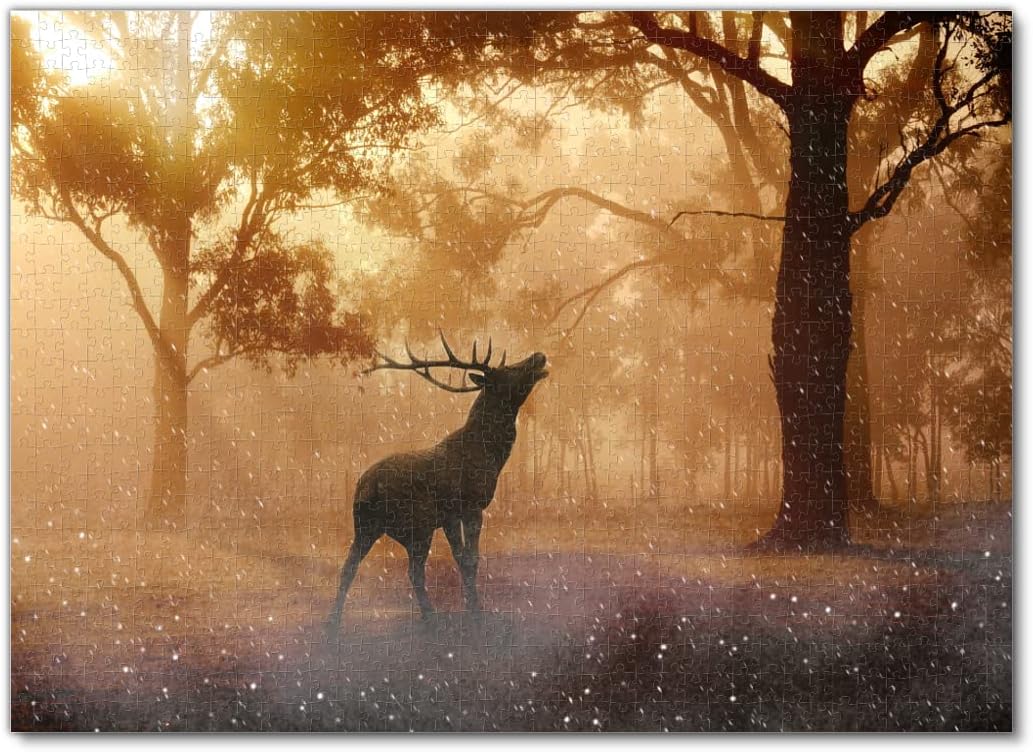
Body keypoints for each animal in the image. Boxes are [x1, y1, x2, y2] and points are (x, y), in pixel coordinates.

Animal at [325, 332, 548, 635]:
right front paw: (476, 613)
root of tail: (367, 489)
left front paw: (471, 607)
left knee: (348, 566)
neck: (490, 455)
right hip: (417, 524)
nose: (539, 355)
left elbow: (461, 559)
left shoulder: (448, 517)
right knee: (414, 571)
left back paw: (333, 622)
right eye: (508, 371)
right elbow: (471, 559)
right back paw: (430, 616)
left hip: (364, 525)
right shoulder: (471, 505)